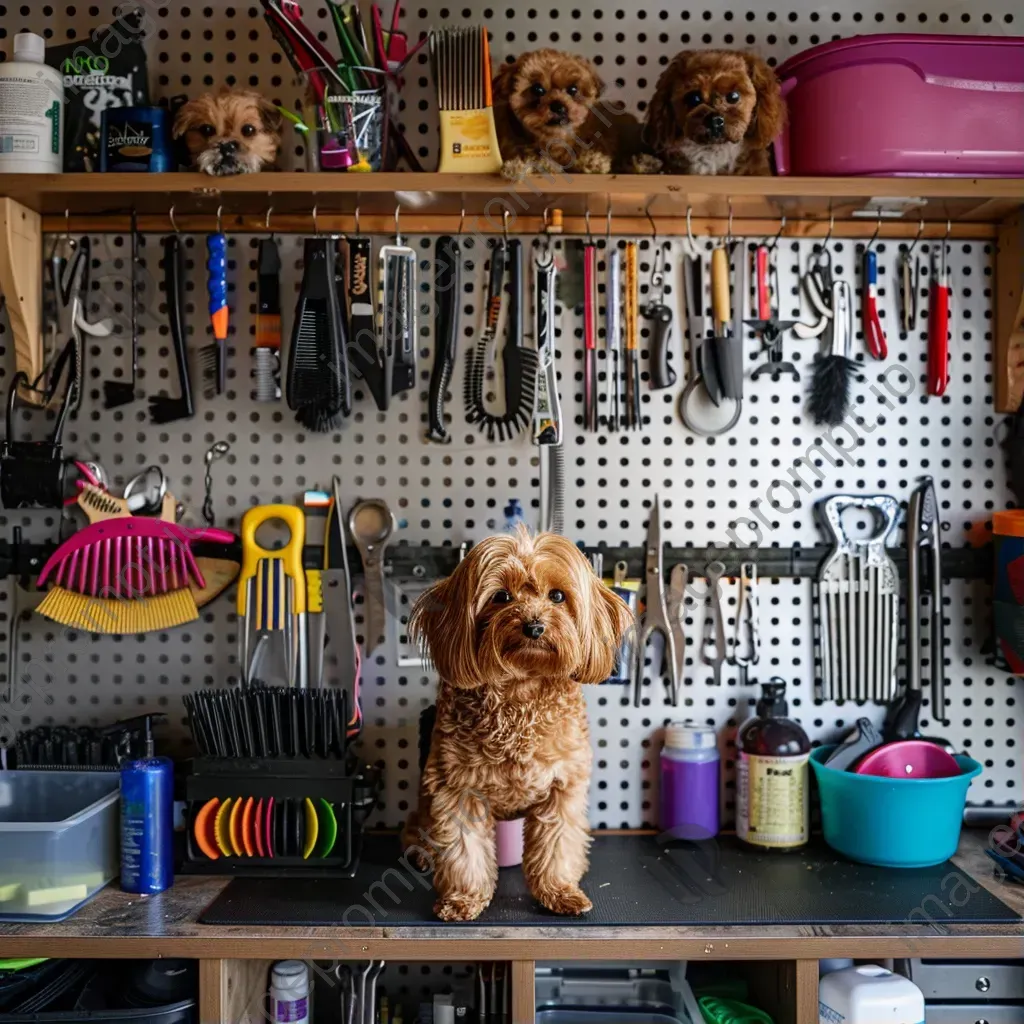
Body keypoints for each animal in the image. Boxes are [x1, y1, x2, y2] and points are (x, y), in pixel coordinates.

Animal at [399, 528, 630, 921]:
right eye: (502, 596)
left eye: (557, 596)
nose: (534, 626)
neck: (520, 695)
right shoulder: (455, 790)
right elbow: (464, 851)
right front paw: (462, 899)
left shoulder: (562, 789)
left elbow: (557, 846)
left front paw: (560, 891)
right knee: (418, 831)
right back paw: (421, 855)